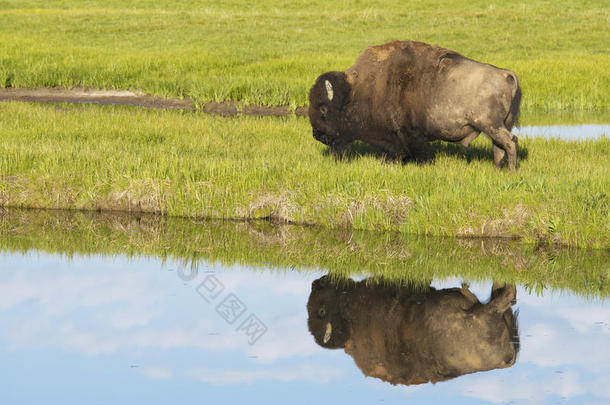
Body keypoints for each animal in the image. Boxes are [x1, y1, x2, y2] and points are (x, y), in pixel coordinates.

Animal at [306, 39, 520, 169]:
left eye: (323, 108)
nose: (316, 134)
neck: (357, 90)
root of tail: (505, 74)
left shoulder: (408, 132)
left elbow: (417, 151)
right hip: (499, 125)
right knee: (499, 146)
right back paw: (497, 169)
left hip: (490, 124)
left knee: (510, 142)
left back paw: (510, 170)